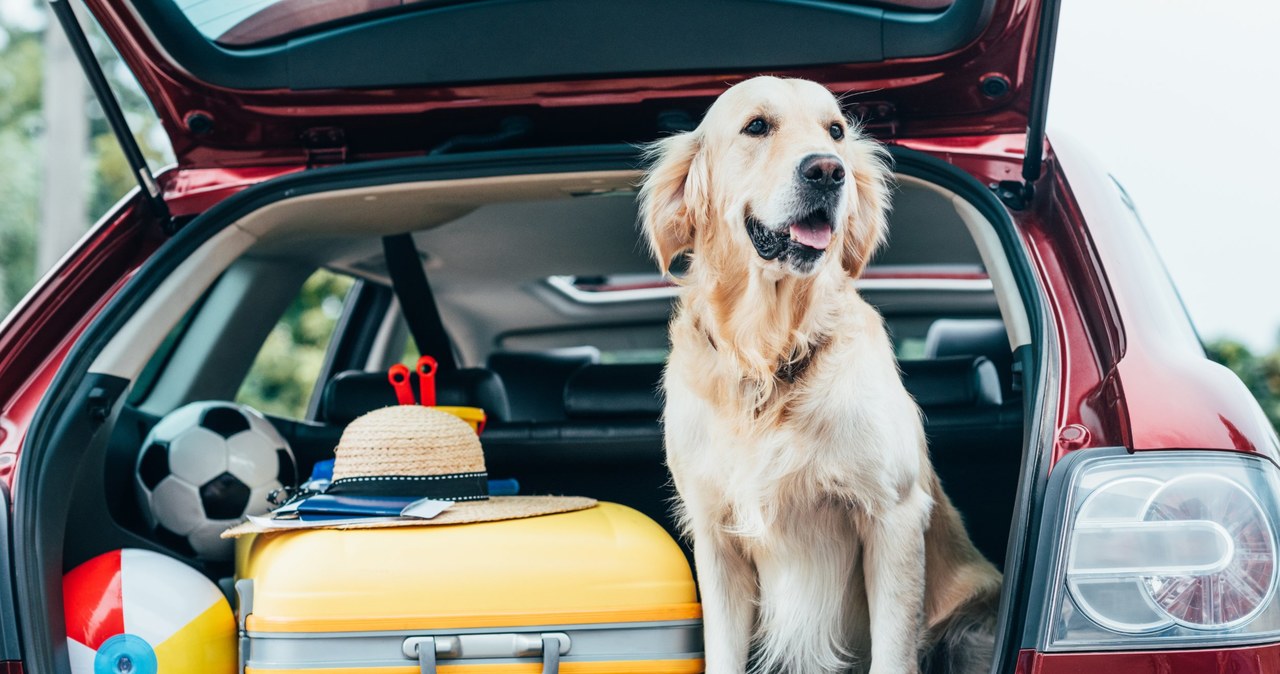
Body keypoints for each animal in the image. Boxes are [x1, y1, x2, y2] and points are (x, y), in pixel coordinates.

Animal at [640, 75, 998, 674]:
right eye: (757, 125)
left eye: (835, 130)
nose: (828, 171)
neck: (769, 359)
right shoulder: (716, 537)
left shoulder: (892, 516)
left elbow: (892, 655)